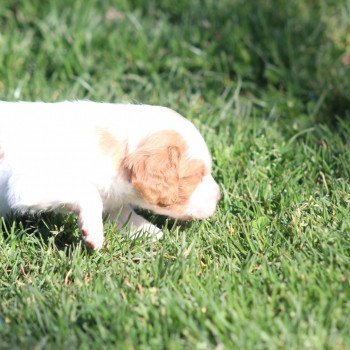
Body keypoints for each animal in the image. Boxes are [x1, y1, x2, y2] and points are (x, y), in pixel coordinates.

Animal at [0, 101, 220, 249]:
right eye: (197, 174)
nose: (219, 197)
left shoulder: (112, 196)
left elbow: (124, 214)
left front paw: (153, 235)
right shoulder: (27, 184)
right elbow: (88, 191)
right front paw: (93, 232)